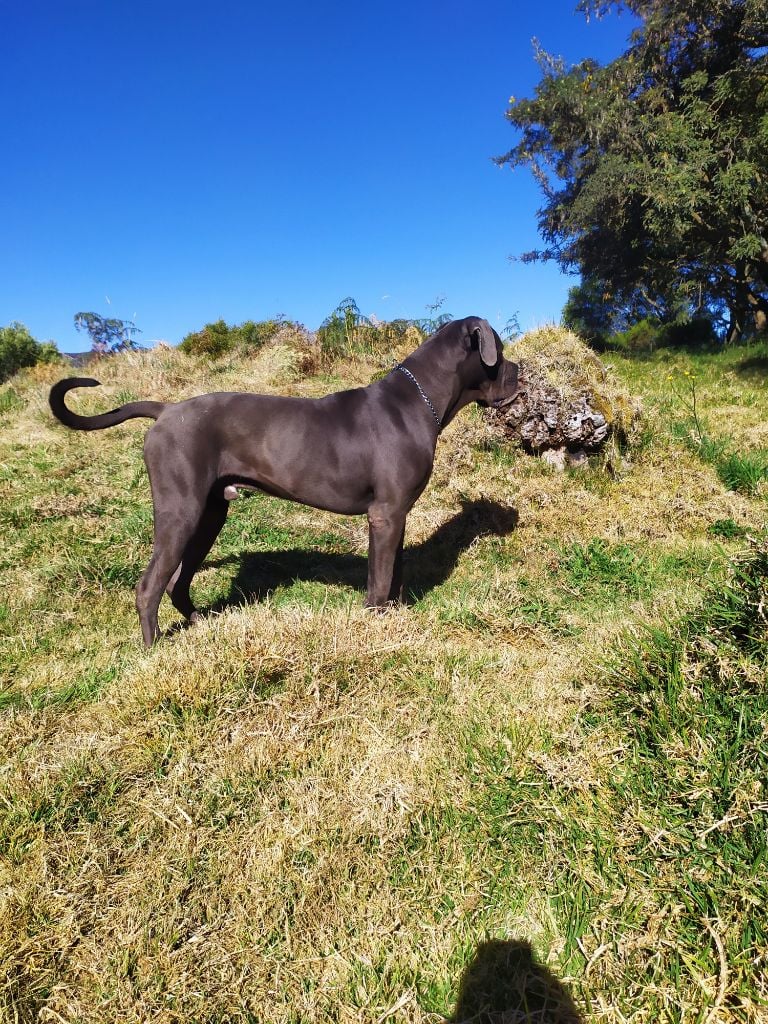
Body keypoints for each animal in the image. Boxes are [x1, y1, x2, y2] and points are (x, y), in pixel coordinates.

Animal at [50, 316, 520, 645]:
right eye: (498, 350)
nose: (520, 372)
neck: (419, 401)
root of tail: (166, 410)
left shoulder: (393, 516)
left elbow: (390, 575)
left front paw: (393, 616)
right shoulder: (386, 515)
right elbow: (381, 579)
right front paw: (375, 627)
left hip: (209, 514)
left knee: (178, 581)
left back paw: (202, 623)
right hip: (180, 510)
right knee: (150, 585)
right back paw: (152, 650)